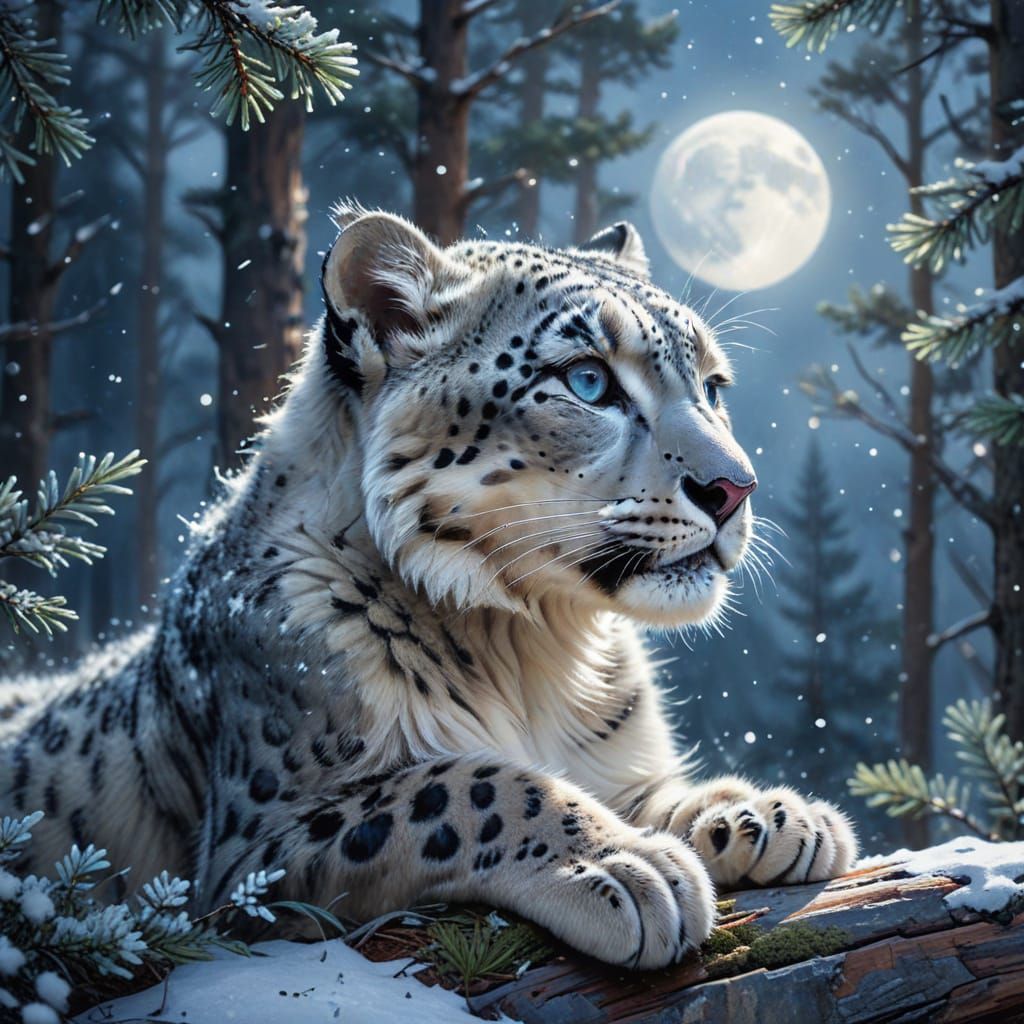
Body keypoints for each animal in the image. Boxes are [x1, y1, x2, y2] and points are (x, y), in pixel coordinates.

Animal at [0, 206, 857, 970]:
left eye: (712, 385)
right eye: (587, 381)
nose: (735, 488)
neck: (539, 652)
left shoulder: (617, 763)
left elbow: (636, 788)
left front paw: (762, 814)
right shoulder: (252, 853)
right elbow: (464, 784)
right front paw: (627, 867)